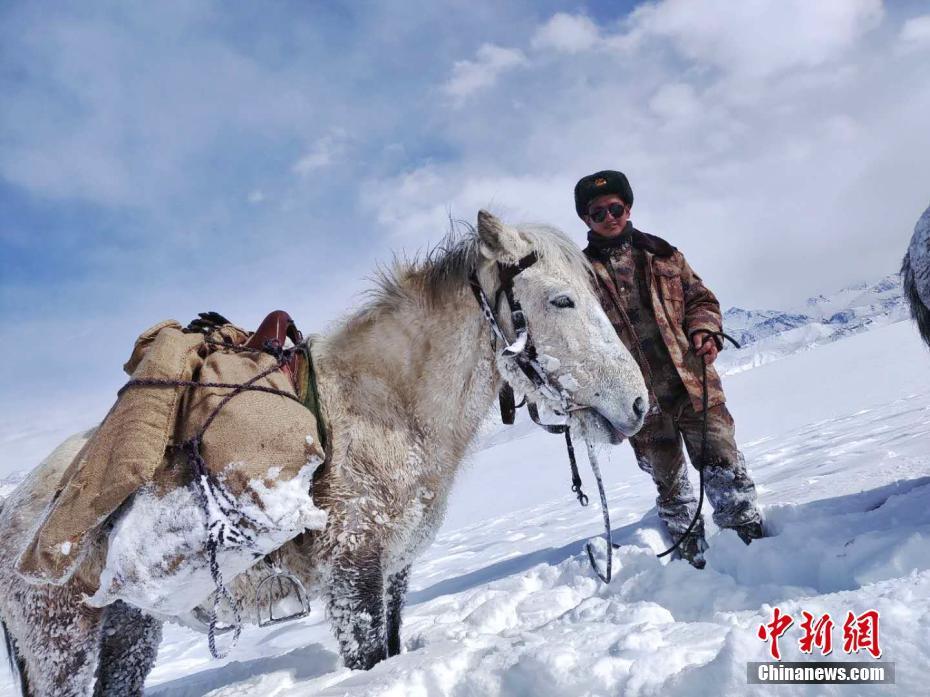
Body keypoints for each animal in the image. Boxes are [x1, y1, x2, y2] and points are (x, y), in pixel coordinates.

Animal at [0, 210, 648, 696]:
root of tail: (14, 513)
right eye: (561, 301)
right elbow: (369, 657)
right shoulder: (352, 571)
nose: (639, 405)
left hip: (129, 630)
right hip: (62, 649)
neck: (387, 409)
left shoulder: (393, 570)